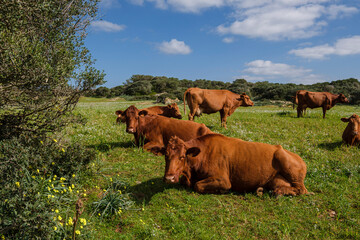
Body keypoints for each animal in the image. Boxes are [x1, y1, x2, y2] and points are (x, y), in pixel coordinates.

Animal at [150, 134, 308, 196]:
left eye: (182, 157)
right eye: (166, 156)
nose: (169, 178)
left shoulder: (224, 180)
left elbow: (197, 186)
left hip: (286, 163)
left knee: (301, 190)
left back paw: (278, 192)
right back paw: (262, 190)